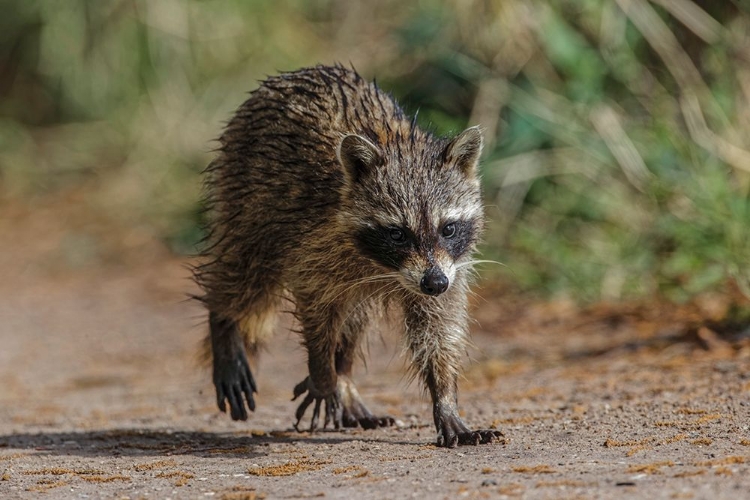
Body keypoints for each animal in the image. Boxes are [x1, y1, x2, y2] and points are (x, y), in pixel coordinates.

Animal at [194, 64, 502, 448]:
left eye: (448, 228)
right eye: (397, 233)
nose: (434, 283)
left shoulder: (450, 267)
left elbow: (438, 329)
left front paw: (445, 401)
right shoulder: (314, 242)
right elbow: (315, 306)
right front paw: (322, 371)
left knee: (355, 320)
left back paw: (345, 376)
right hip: (245, 194)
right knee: (245, 273)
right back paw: (224, 321)